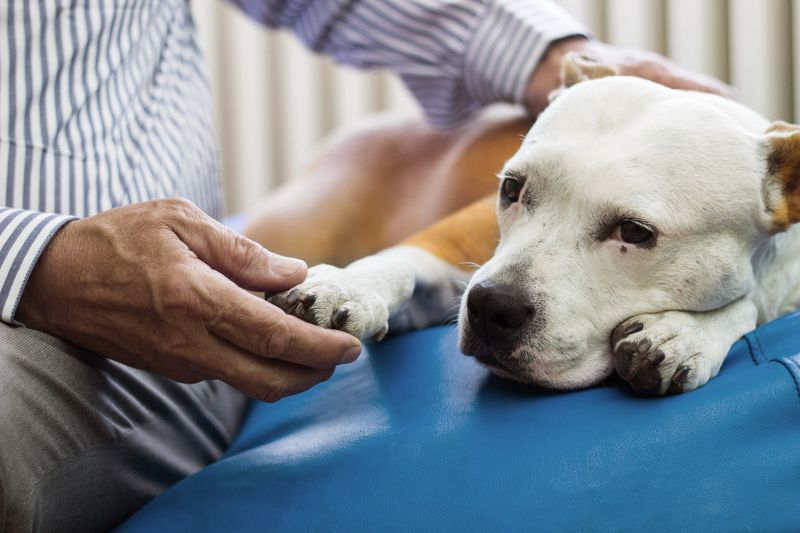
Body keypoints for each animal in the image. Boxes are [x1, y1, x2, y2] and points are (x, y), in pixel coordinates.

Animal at [268, 63, 800, 394]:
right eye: (511, 187)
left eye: (633, 232)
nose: (491, 306)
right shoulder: (443, 249)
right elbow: (398, 262)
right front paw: (346, 286)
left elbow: (753, 301)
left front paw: (686, 334)